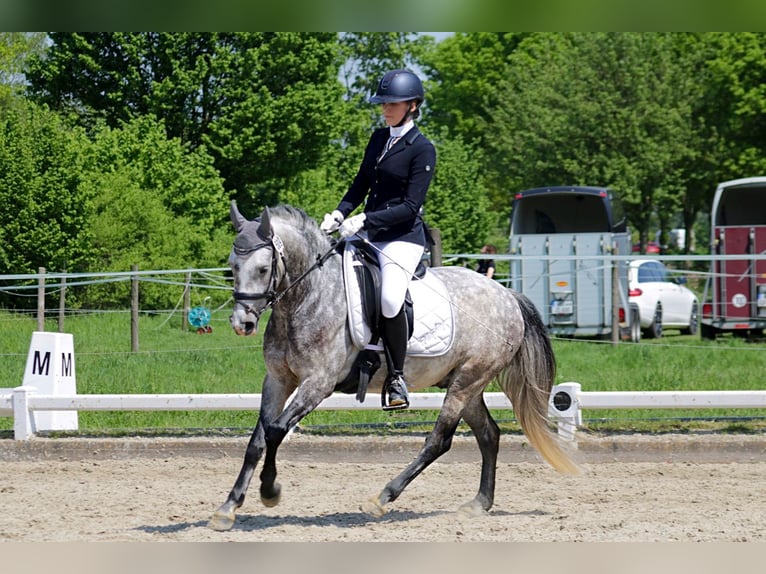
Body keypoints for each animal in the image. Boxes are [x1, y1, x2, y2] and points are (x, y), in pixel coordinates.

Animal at [209, 202, 579, 531]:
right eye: (232, 266)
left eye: (262, 268)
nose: (242, 323)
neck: (309, 296)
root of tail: (507, 295)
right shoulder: (277, 379)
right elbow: (258, 439)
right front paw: (227, 508)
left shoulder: (318, 383)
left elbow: (275, 431)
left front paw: (270, 491)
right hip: (465, 382)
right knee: (488, 434)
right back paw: (478, 503)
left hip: (469, 380)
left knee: (439, 441)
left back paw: (383, 497)